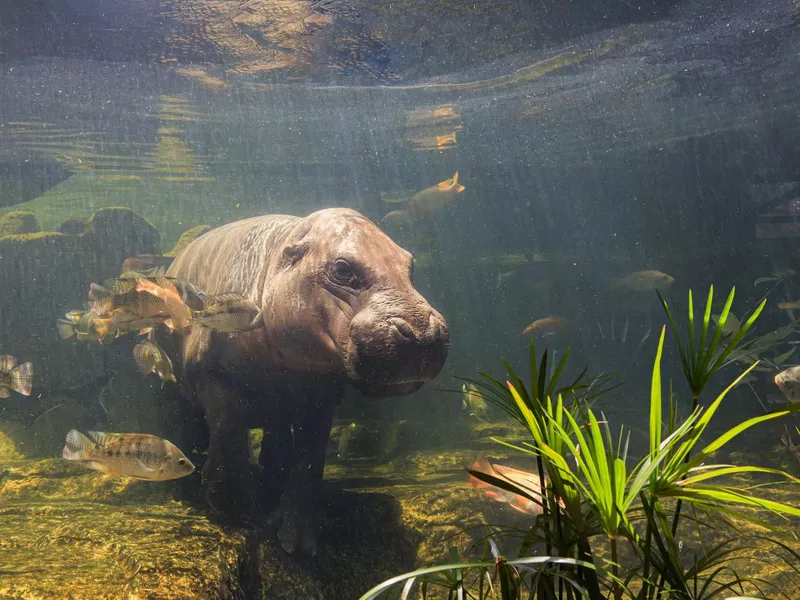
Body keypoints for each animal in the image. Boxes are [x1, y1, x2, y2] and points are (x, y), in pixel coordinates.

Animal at [165, 209, 446, 556]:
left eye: (410, 263)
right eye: (342, 269)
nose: (422, 334)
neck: (278, 256)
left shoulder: (321, 392)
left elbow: (310, 456)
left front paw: (297, 541)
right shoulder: (216, 377)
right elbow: (228, 437)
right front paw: (234, 510)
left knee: (276, 434)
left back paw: (272, 470)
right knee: (184, 422)